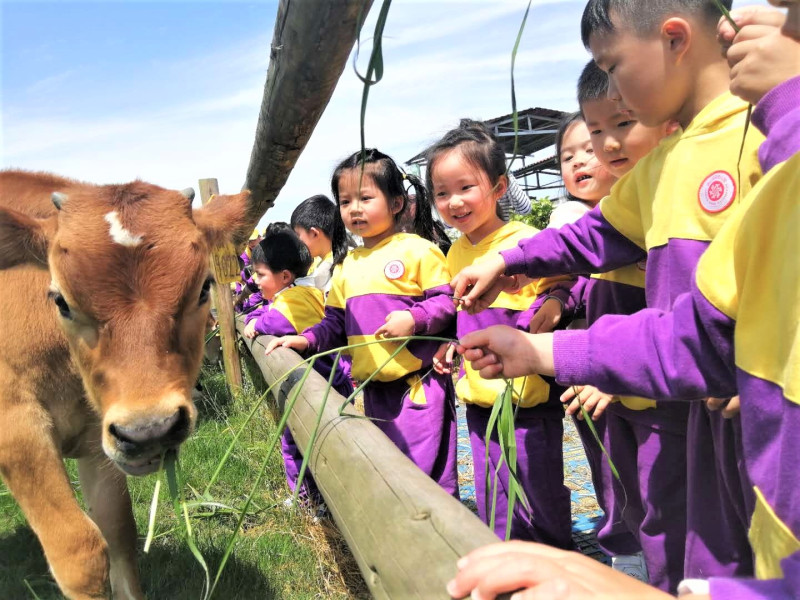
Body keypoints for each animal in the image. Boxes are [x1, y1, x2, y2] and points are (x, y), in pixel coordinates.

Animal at [0, 170, 250, 600]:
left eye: (204, 287)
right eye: (61, 301)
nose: (150, 430)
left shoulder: (98, 440)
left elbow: (119, 533)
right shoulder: (16, 429)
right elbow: (80, 553)